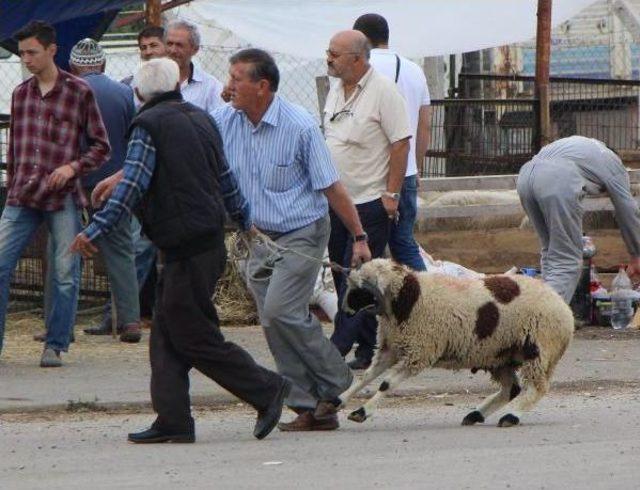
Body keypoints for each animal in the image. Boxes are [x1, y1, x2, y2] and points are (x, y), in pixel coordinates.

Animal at [332, 258, 572, 426]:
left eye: (361, 289)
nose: (345, 310)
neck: (409, 298)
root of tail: (563, 307)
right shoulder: (389, 348)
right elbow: (366, 376)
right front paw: (339, 401)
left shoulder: (420, 352)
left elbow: (386, 384)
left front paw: (362, 412)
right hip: (500, 354)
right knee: (511, 389)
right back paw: (475, 415)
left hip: (538, 348)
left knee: (538, 387)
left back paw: (511, 417)